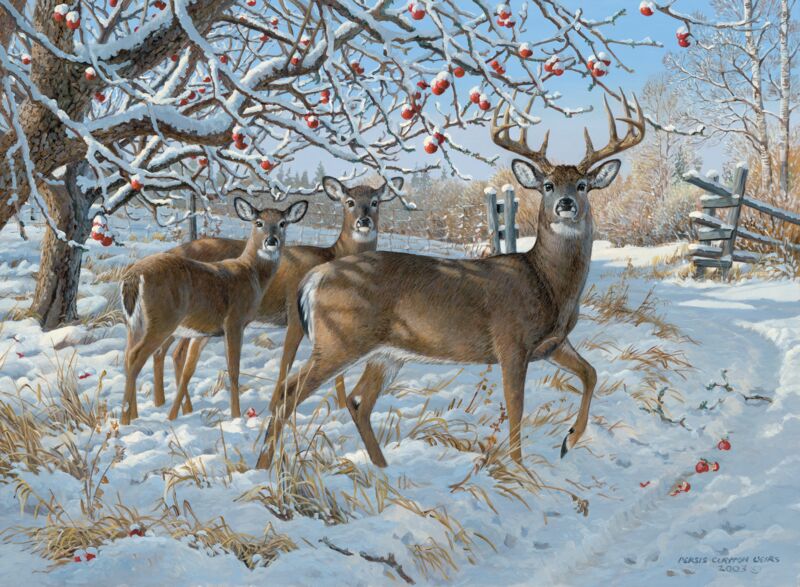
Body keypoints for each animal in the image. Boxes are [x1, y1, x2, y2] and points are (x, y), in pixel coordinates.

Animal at [119, 198, 308, 425]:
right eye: (259, 222)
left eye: (282, 223)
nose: (271, 241)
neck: (250, 274)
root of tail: (132, 277)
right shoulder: (234, 321)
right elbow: (233, 370)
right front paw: (236, 416)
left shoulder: (204, 333)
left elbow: (188, 370)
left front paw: (173, 416)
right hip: (161, 321)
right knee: (136, 357)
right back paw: (125, 420)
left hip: (134, 325)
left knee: (128, 356)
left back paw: (133, 415)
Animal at [148, 177, 404, 420]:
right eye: (349, 202)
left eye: (375, 202)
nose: (364, 221)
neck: (332, 256)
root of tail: (172, 251)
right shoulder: (295, 316)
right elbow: (286, 362)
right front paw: (274, 407)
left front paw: (340, 408)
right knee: (168, 351)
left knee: (172, 352)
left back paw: (175, 407)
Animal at [257, 93, 644, 470]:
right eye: (548, 185)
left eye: (583, 185)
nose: (565, 204)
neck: (547, 284)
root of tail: (315, 277)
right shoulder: (510, 342)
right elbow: (516, 411)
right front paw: (521, 472)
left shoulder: (552, 344)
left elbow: (591, 373)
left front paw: (569, 441)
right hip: (340, 339)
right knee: (288, 393)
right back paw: (266, 467)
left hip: (385, 353)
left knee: (357, 401)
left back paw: (381, 469)